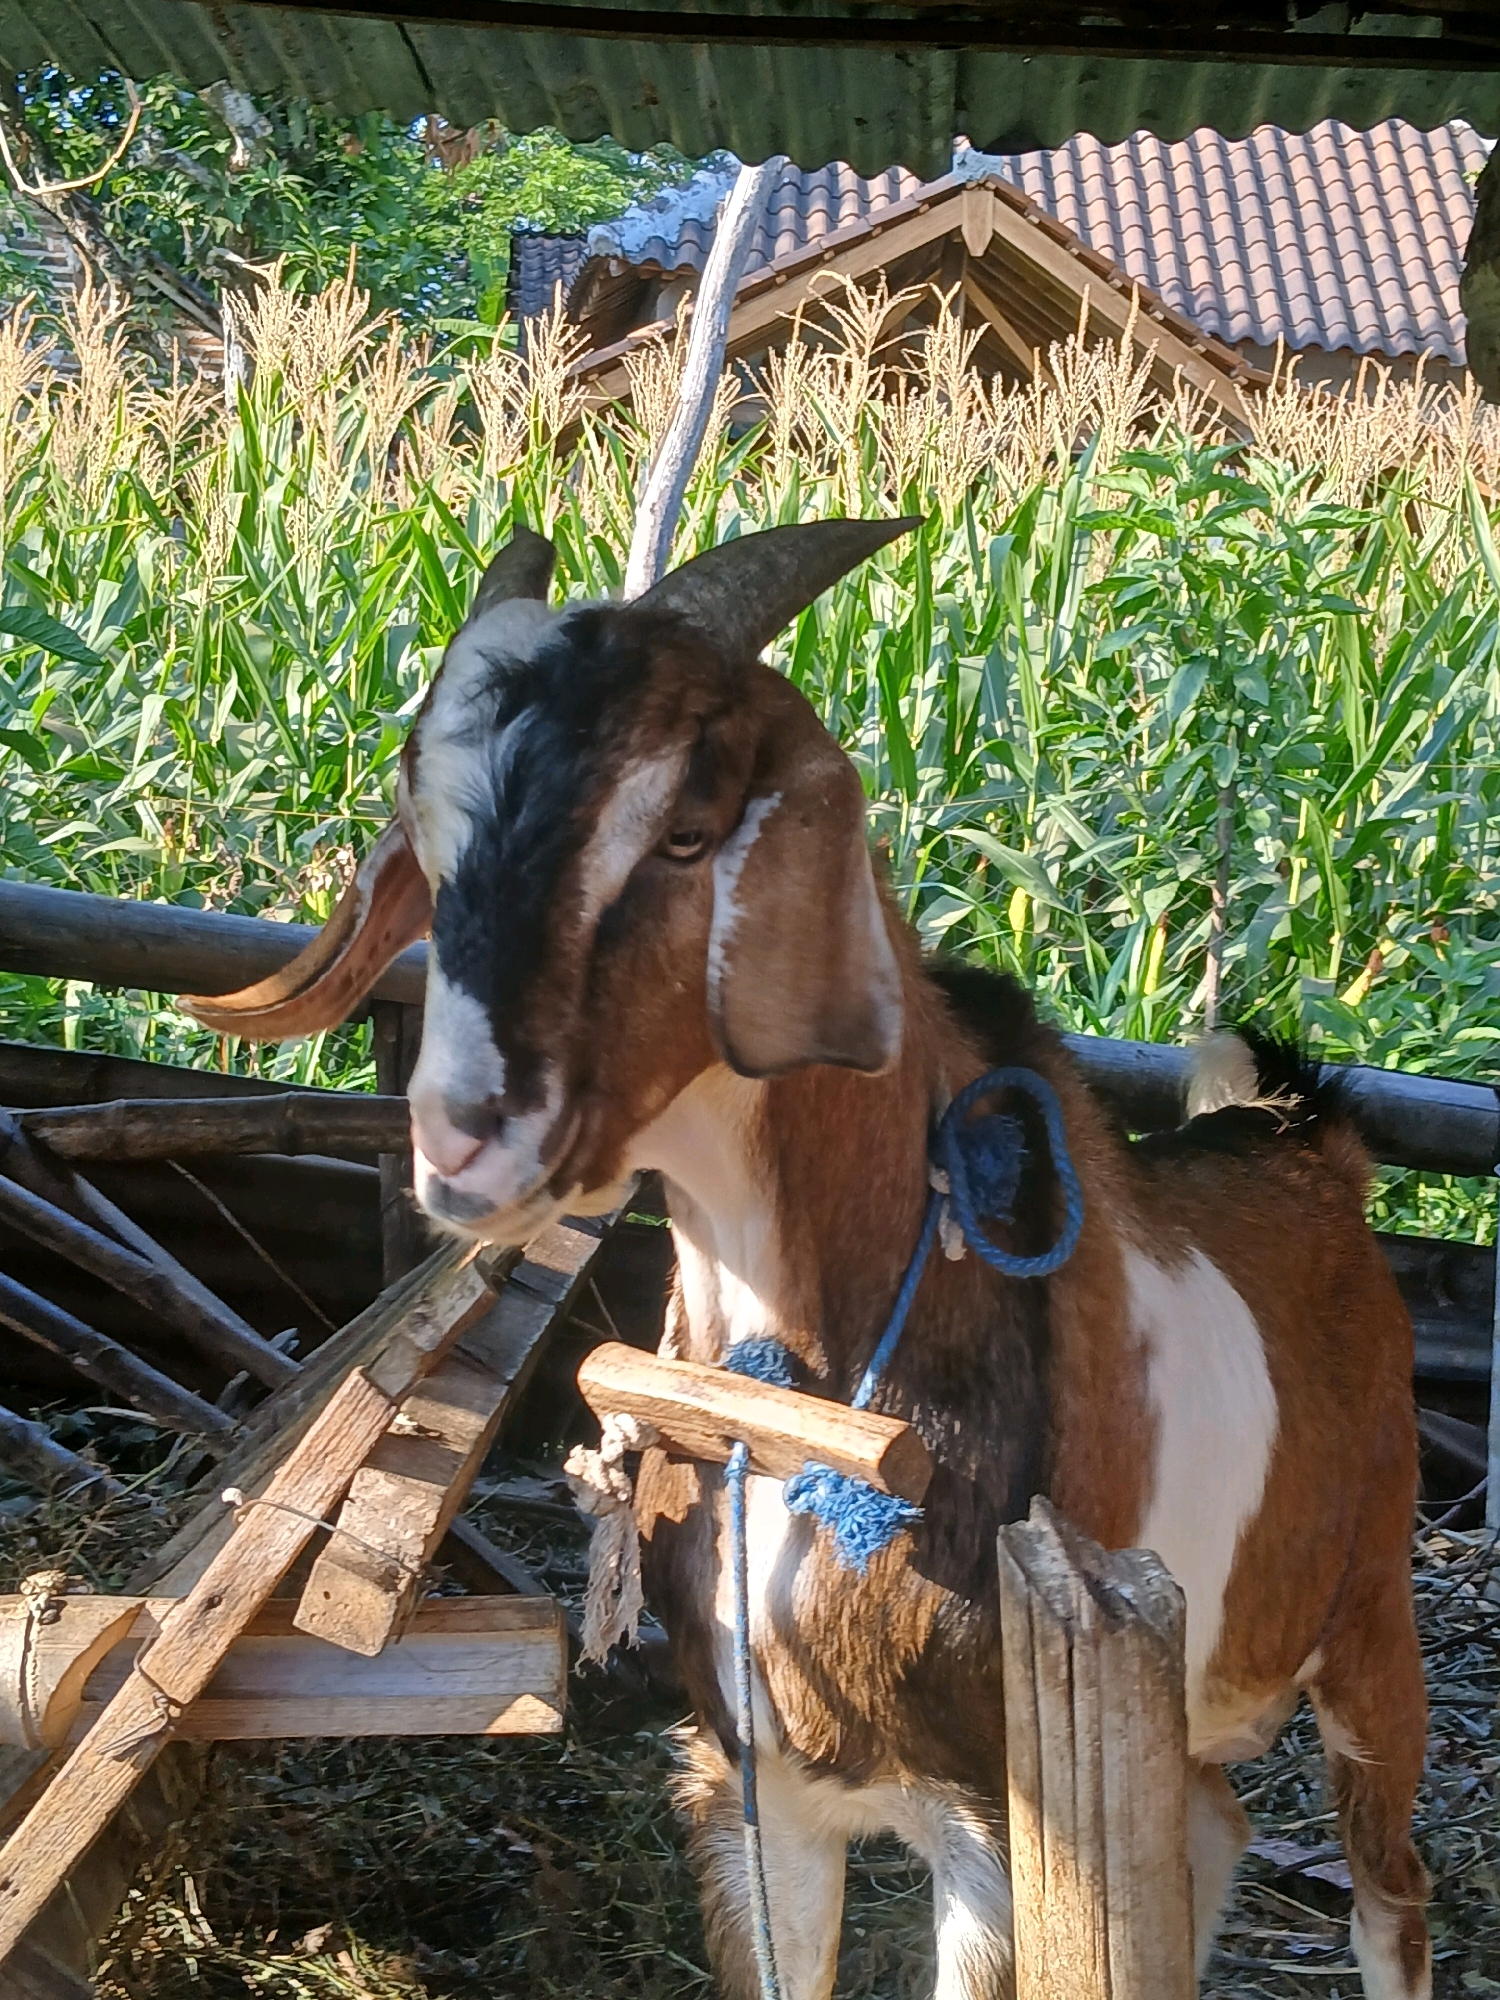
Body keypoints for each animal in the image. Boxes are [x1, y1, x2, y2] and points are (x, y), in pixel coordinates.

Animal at [187, 520, 1430, 2000]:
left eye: (685, 832)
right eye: (429, 841)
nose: (467, 1139)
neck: (804, 1391)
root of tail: (1303, 1136)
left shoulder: (998, 1823)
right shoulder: (752, 1786)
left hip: (1372, 1618)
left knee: (1390, 1893)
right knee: (1212, 1823)